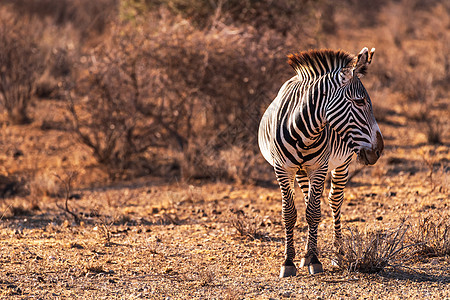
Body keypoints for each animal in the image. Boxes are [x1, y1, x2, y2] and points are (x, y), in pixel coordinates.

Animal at [260, 47, 384, 276]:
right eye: (360, 102)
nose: (379, 150)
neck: (302, 131)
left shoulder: (319, 167)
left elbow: (314, 213)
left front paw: (315, 260)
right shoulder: (282, 168)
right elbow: (289, 213)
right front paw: (289, 261)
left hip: (342, 163)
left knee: (334, 201)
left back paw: (336, 255)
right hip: (301, 171)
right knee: (308, 199)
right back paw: (305, 255)